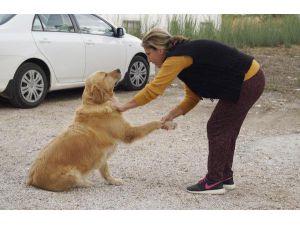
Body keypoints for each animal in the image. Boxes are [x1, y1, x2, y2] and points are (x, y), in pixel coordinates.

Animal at [27, 69, 177, 192]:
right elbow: (152, 123)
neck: (96, 104)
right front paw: (168, 123)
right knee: (77, 182)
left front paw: (113, 181)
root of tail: (31, 178)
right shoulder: (127, 133)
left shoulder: (102, 154)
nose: (119, 69)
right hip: (73, 174)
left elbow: (106, 171)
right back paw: (86, 183)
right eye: (105, 75)